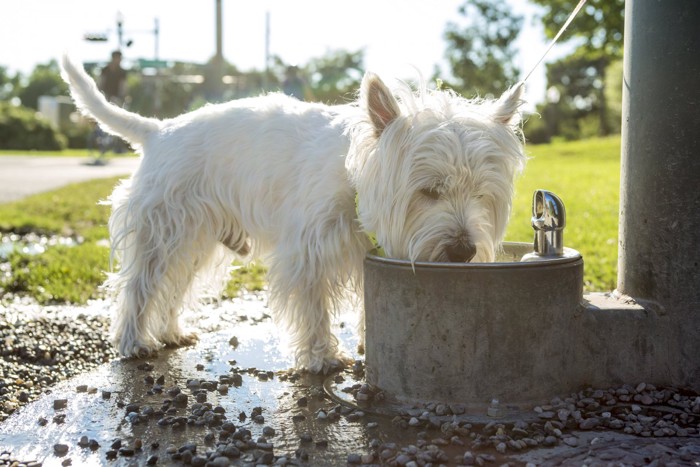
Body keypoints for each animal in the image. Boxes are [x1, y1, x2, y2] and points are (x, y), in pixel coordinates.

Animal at [61, 54, 524, 372]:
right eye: (429, 191)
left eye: (482, 194)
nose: (463, 251)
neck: (354, 176)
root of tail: (159, 130)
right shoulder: (308, 250)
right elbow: (314, 304)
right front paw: (322, 357)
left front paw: (366, 339)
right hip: (166, 226)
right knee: (142, 283)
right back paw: (135, 341)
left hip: (198, 237)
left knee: (175, 284)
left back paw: (171, 332)